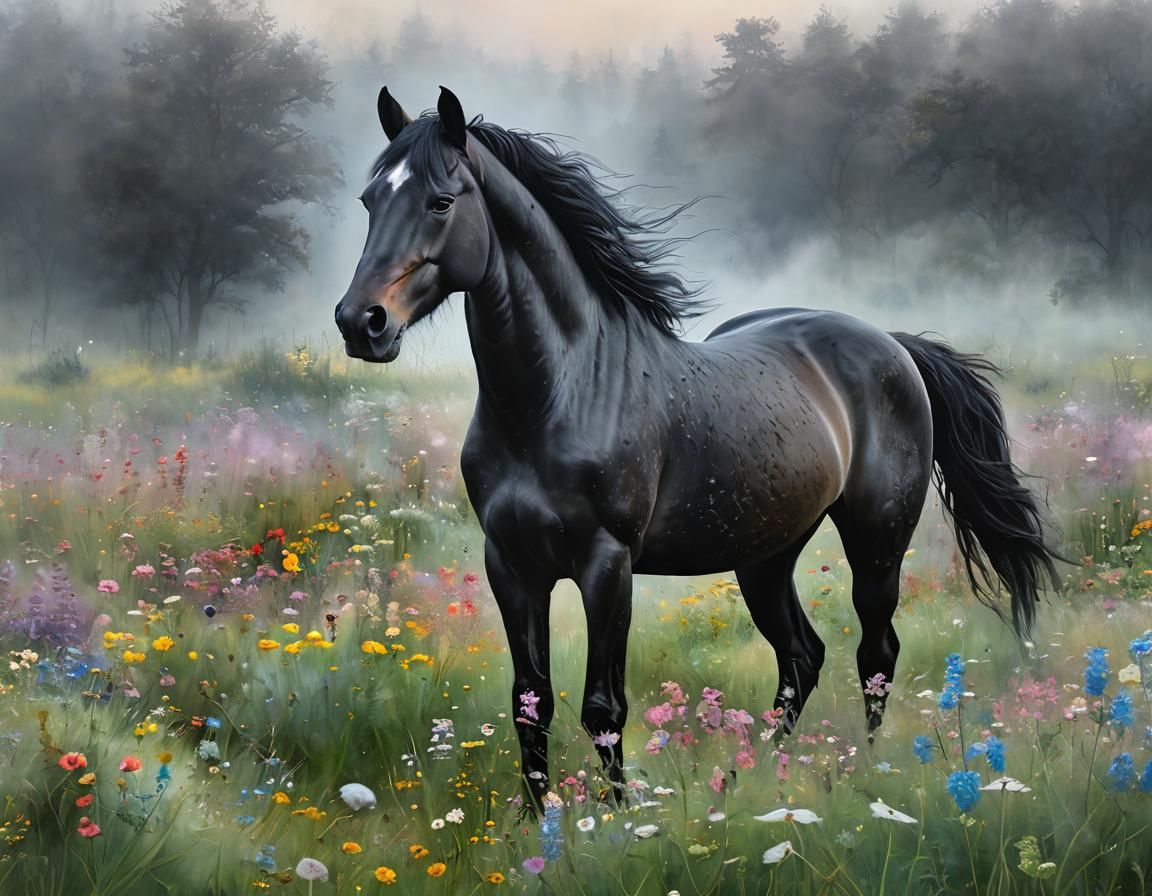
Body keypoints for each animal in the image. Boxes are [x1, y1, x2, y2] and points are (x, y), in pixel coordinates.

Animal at [335, 86, 1060, 810]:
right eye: (369, 200)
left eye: (440, 201)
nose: (360, 322)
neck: (559, 396)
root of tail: (893, 345)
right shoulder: (511, 566)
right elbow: (529, 704)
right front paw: (539, 823)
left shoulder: (607, 565)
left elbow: (603, 707)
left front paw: (616, 818)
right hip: (765, 556)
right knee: (802, 658)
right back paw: (754, 777)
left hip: (876, 544)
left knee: (874, 655)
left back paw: (868, 775)